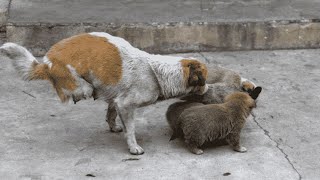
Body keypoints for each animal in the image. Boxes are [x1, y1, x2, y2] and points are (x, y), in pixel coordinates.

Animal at [0, 31, 209, 154]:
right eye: (204, 79)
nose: (209, 88)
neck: (155, 73)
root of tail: (46, 63)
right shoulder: (126, 105)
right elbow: (130, 129)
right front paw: (133, 147)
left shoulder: (117, 99)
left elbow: (111, 112)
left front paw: (114, 127)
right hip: (80, 84)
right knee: (84, 89)